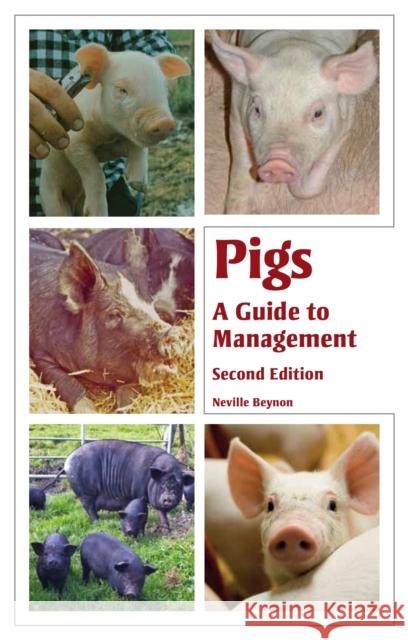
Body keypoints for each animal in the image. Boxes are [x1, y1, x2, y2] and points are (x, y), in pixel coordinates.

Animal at [30, 241, 178, 412]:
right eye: (115, 314)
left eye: (152, 305)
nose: (171, 333)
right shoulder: (40, 352)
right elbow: (70, 386)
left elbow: (128, 398)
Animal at [40, 44, 191, 216]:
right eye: (122, 90)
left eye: (165, 89)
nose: (165, 122)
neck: (107, 131)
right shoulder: (74, 141)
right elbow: (95, 173)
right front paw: (97, 214)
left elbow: (140, 148)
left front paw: (139, 185)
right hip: (51, 197)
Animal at [64, 439, 194, 529]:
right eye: (162, 484)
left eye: (179, 486)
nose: (169, 498)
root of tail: (67, 461)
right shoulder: (139, 493)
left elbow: (162, 512)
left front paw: (167, 528)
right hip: (85, 492)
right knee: (89, 507)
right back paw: (97, 522)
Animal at [210, 30, 378, 213]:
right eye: (257, 109)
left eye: (318, 113)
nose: (277, 163)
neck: (296, 46)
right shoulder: (236, 111)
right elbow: (241, 166)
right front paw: (235, 210)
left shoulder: (343, 127)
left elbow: (312, 184)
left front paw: (296, 184)